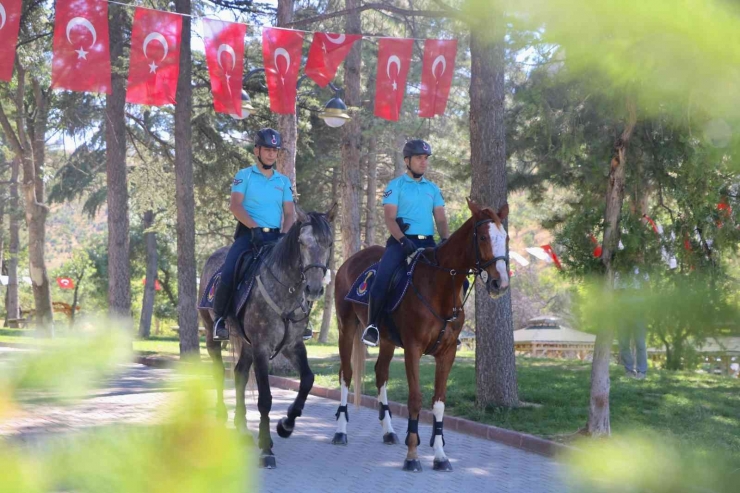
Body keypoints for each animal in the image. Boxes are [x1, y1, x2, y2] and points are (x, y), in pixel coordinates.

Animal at [197, 205, 336, 468]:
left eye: (329, 243)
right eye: (302, 242)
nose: (314, 288)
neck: (286, 290)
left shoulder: (293, 345)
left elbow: (307, 380)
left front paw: (286, 425)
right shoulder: (262, 347)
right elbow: (265, 399)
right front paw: (266, 448)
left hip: (247, 345)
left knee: (240, 374)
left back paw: (242, 429)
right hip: (212, 334)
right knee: (219, 370)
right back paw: (222, 414)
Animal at [334, 198, 512, 470]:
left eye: (506, 237)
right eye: (482, 237)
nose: (499, 283)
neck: (439, 286)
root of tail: (349, 261)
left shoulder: (447, 353)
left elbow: (438, 403)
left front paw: (440, 455)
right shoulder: (413, 349)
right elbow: (415, 399)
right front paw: (412, 455)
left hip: (386, 340)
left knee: (381, 374)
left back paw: (388, 431)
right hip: (346, 327)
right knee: (346, 374)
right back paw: (341, 431)